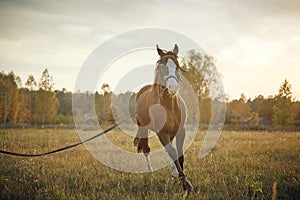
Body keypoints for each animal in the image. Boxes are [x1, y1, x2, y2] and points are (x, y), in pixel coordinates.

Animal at [132, 44, 193, 195]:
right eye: (162, 67)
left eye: (177, 66)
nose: (173, 87)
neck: (169, 105)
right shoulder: (162, 133)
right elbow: (173, 152)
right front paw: (186, 185)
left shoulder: (181, 131)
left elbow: (179, 155)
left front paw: (180, 178)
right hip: (143, 128)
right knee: (146, 149)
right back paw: (151, 173)